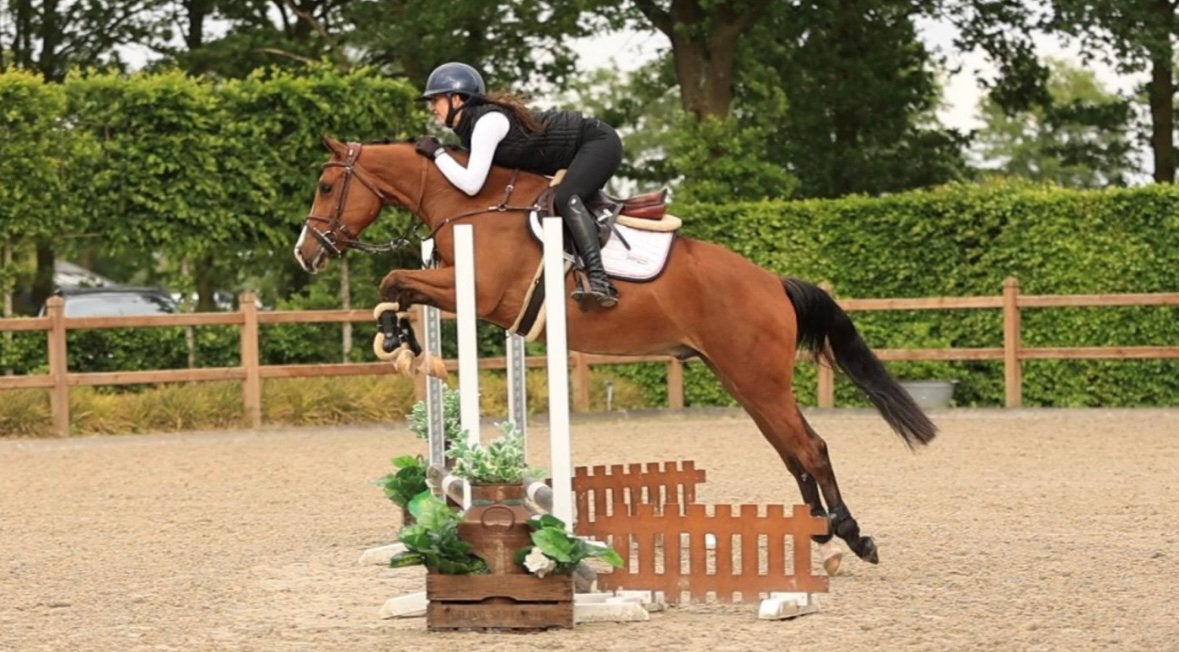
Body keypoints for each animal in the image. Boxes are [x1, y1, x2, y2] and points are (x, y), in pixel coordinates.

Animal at [294, 135, 937, 567]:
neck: (470, 201)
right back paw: (819, 530)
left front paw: (402, 344)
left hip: (758, 380)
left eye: (326, 186)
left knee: (811, 447)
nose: (307, 252)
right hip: (743, 381)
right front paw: (400, 343)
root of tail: (773, 282)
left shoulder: (475, 292)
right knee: (791, 450)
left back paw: (853, 535)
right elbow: (396, 286)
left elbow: (394, 279)